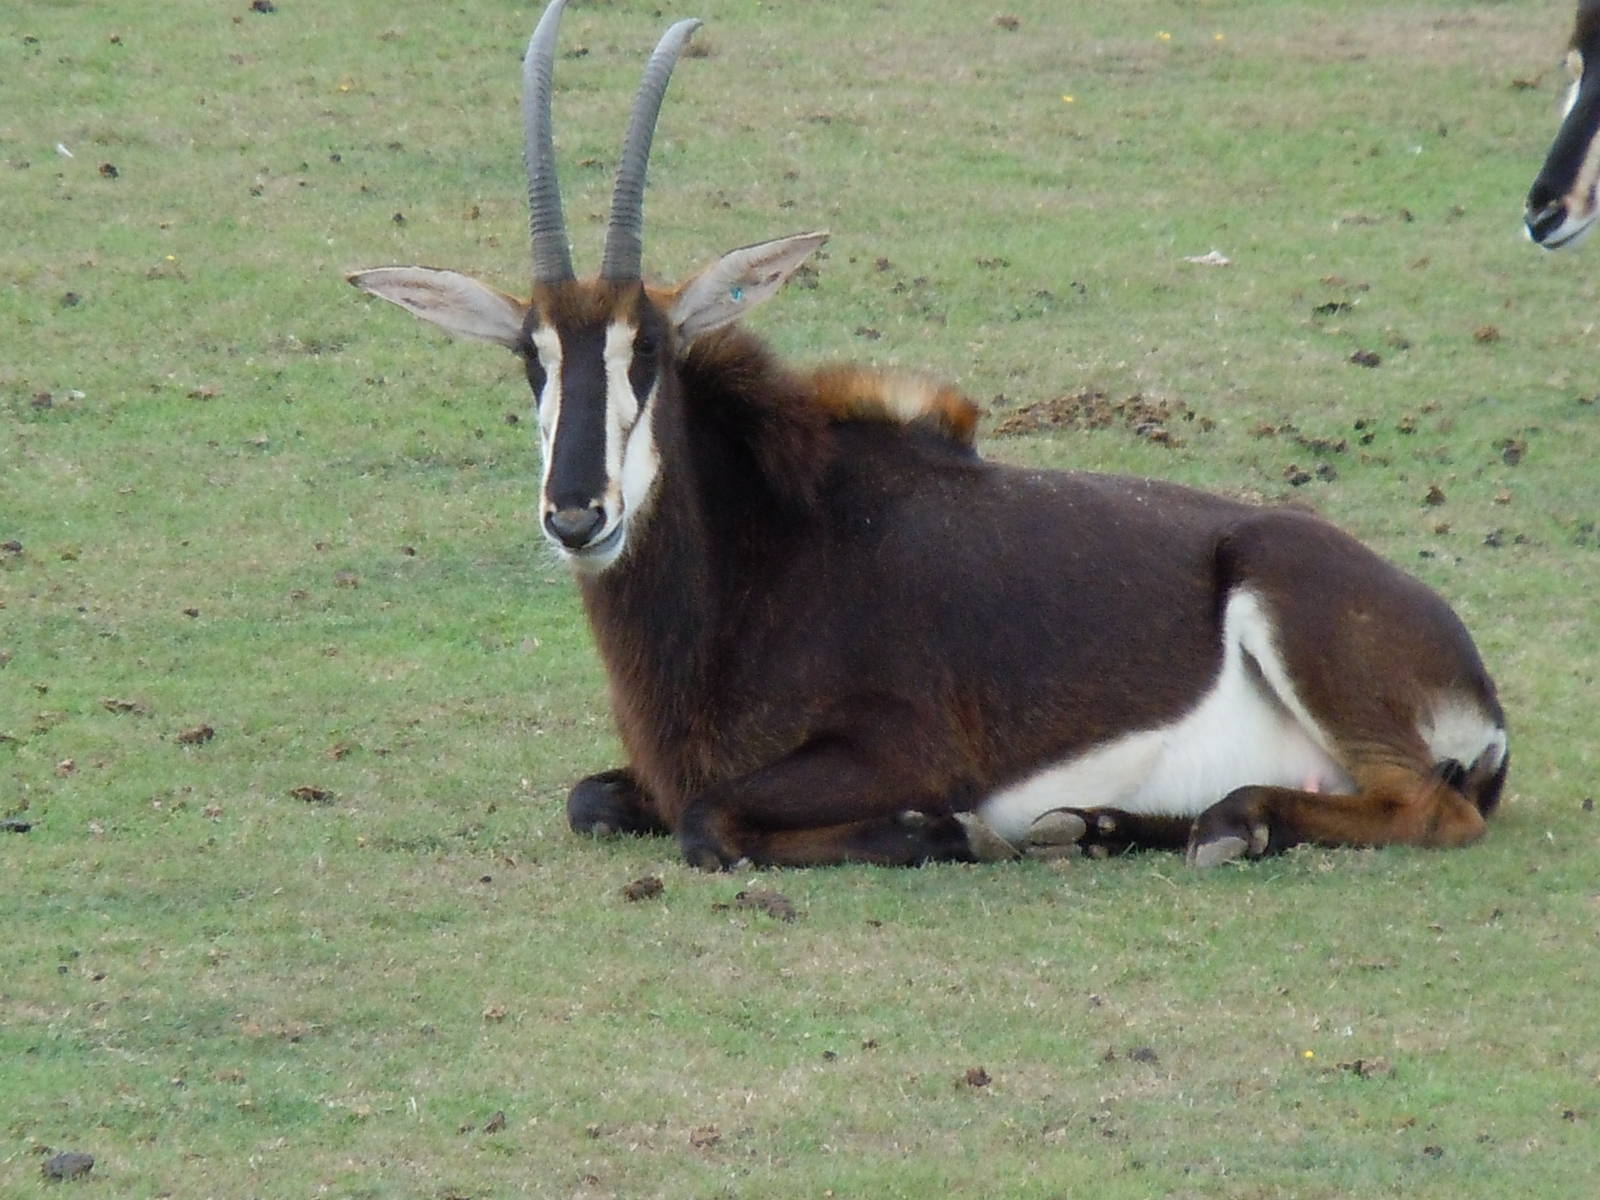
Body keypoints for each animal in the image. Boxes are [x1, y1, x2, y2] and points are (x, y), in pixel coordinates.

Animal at [348, 0, 1508, 870]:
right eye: (531, 357)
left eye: (652, 352)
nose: (577, 513)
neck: (765, 555)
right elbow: (593, 800)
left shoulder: (896, 748)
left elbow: (710, 821)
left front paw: (942, 831)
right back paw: (1106, 826)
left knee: (1429, 807)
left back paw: (1229, 824)